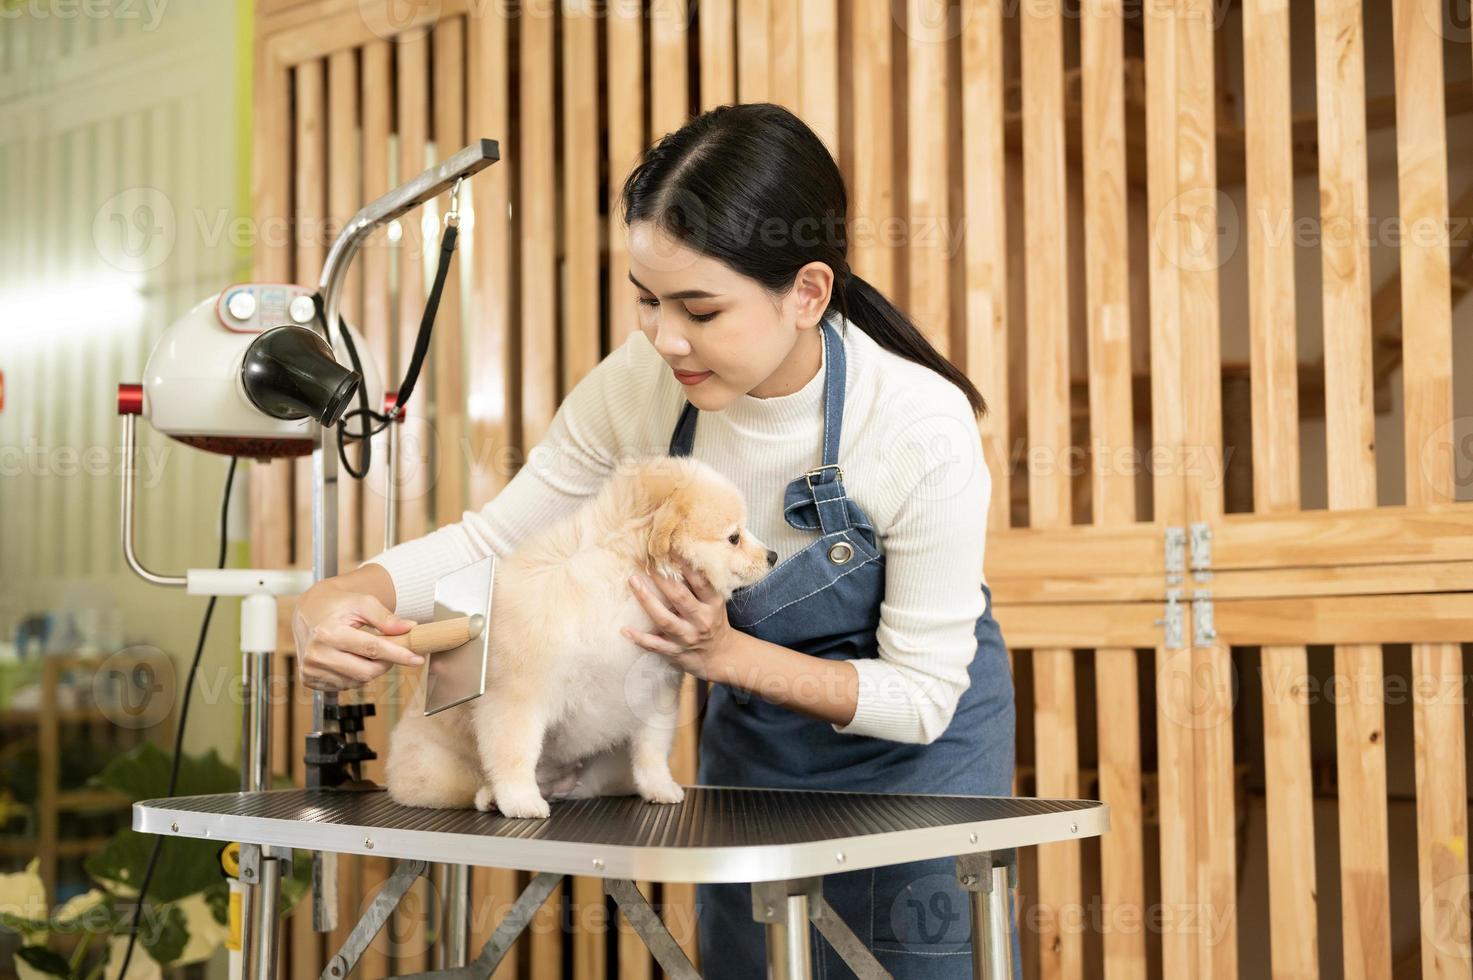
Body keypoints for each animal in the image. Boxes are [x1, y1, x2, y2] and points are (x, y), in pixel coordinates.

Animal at [385, 459, 777, 819]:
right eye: (734, 537)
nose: (773, 555)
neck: (621, 589)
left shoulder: (656, 692)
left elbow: (651, 750)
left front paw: (660, 788)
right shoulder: (517, 697)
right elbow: (514, 753)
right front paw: (520, 800)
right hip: (437, 770)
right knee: (463, 787)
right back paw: (492, 797)